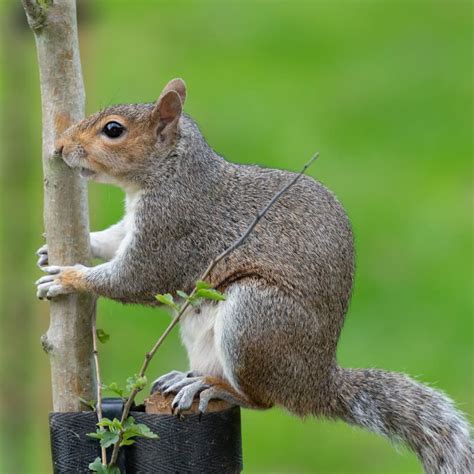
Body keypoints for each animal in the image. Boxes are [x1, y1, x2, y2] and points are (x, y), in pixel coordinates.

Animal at [35, 78, 472, 474]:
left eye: (113, 130)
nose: (60, 148)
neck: (172, 172)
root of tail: (315, 384)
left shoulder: (173, 229)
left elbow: (136, 279)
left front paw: (69, 277)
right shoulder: (135, 226)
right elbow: (113, 241)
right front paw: (61, 251)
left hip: (255, 319)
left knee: (261, 399)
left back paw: (213, 386)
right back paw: (189, 377)